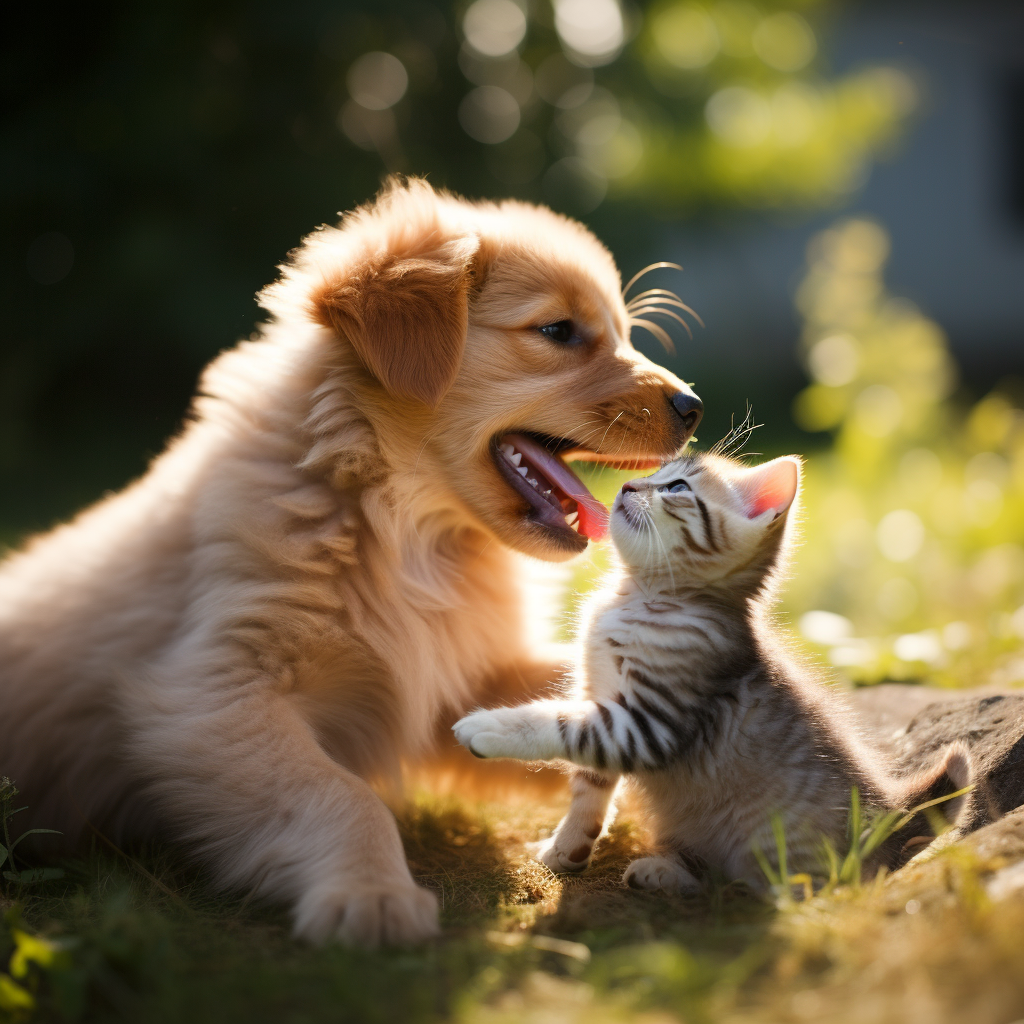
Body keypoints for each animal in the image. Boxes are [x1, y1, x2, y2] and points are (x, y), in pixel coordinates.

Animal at [0, 178, 700, 942]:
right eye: (559, 332)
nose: (694, 405)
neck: (403, 532)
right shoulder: (203, 695)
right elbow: (336, 793)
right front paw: (371, 896)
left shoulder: (456, 678)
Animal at [454, 452, 966, 892]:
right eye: (654, 472)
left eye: (677, 487)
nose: (626, 485)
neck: (641, 596)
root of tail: (889, 819)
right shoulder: (600, 697)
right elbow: (589, 785)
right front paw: (567, 848)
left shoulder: (647, 723)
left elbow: (558, 722)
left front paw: (487, 728)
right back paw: (661, 871)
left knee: (773, 890)